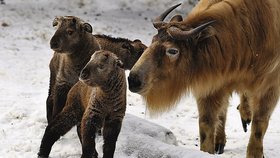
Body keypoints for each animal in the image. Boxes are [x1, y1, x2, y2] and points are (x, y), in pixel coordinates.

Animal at [128, 1, 280, 158]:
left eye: (173, 50)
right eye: (152, 41)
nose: (133, 80)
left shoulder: (270, 87)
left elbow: (259, 124)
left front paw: (255, 153)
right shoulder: (212, 87)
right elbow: (206, 124)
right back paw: (220, 141)